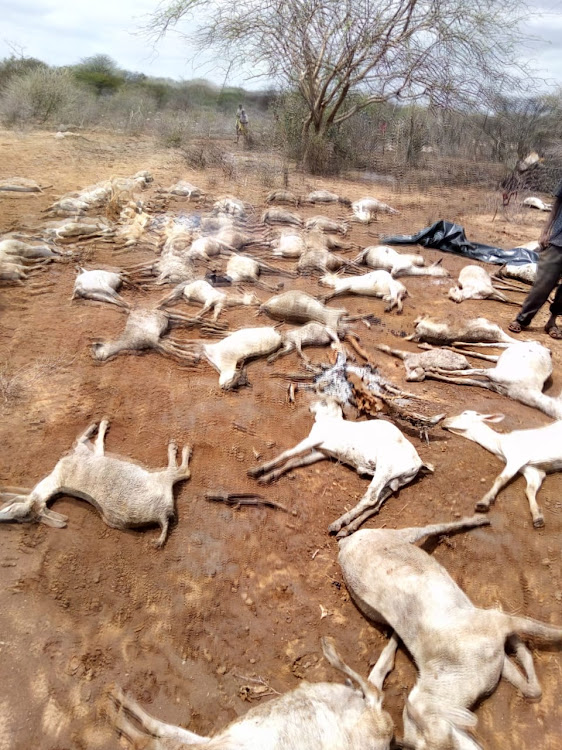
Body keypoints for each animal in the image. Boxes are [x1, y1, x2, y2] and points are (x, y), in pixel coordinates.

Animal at [0, 420, 190, 548]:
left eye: (14, 510)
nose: (2, 517)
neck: (58, 480)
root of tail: (161, 515)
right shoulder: (88, 454)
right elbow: (94, 442)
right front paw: (100, 424)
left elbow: (89, 441)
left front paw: (96, 424)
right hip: (160, 479)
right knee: (181, 472)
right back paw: (178, 448)